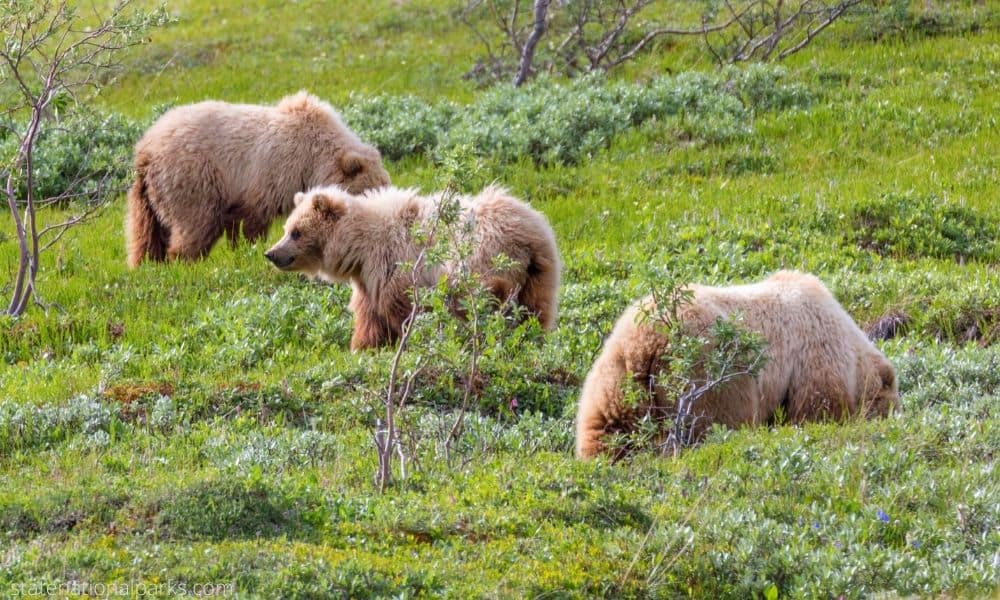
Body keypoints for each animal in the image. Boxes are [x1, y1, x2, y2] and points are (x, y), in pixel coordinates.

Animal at [125, 91, 390, 268]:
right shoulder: (270, 174)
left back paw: (148, 263)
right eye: (367, 193)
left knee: (146, 232)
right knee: (197, 223)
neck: (313, 161)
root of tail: (145, 149)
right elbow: (254, 219)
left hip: (146, 195)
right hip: (193, 179)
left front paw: (237, 248)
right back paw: (185, 262)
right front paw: (252, 248)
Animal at [266, 185, 564, 350]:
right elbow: (370, 315)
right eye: (286, 228)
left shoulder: (395, 263)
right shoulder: (368, 278)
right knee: (536, 309)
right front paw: (365, 346)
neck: (360, 247)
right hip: (541, 273)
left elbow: (402, 308)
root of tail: (529, 237)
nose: (271, 253)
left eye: (296, 232)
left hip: (483, 261)